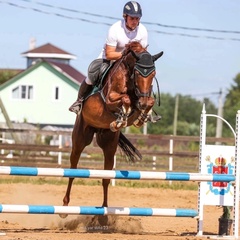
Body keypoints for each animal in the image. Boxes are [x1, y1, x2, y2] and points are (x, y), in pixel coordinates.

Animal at [62, 41, 163, 214]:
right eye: (137, 73)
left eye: (153, 73)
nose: (142, 103)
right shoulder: (109, 99)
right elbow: (126, 99)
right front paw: (123, 115)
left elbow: (149, 101)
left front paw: (142, 116)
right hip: (80, 139)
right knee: (72, 171)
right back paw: (65, 207)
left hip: (109, 145)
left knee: (106, 178)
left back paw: (104, 210)